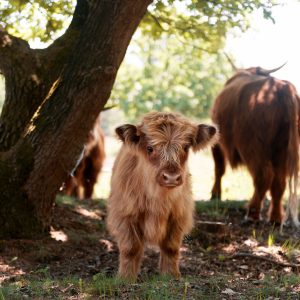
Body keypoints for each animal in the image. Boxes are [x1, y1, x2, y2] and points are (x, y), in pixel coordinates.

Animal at [108, 111, 218, 280]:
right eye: (149, 148)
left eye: (186, 147)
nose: (171, 177)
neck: (158, 198)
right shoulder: (125, 214)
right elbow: (131, 248)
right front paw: (126, 277)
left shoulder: (178, 215)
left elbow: (171, 248)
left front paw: (171, 275)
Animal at [211, 65, 300, 225]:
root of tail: (283, 89)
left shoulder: (217, 143)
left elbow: (219, 169)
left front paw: (215, 194)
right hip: (282, 149)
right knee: (279, 181)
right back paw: (276, 218)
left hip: (253, 147)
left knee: (264, 176)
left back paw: (252, 213)